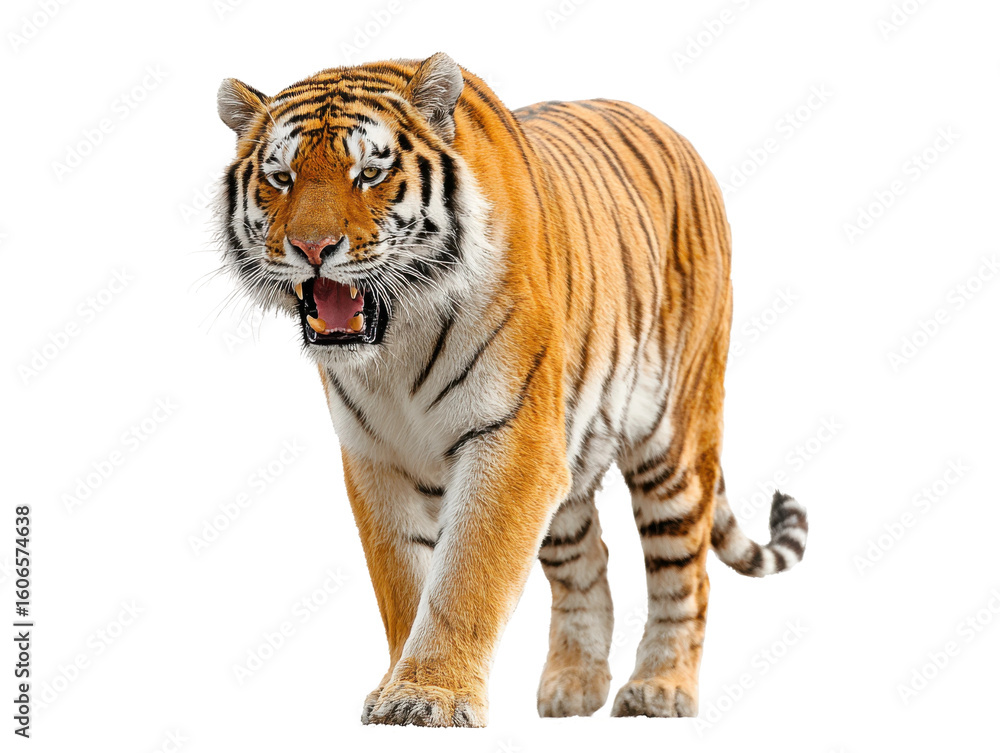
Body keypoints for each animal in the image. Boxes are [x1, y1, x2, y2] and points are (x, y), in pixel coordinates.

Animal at [214, 52, 808, 727]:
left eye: (369, 173)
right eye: (281, 178)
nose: (312, 248)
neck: (396, 344)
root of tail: (674, 132)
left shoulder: (511, 439)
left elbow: (467, 576)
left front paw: (429, 695)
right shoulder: (376, 457)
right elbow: (402, 581)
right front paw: (396, 686)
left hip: (673, 442)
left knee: (686, 573)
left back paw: (659, 689)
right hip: (571, 460)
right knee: (587, 564)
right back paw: (573, 687)